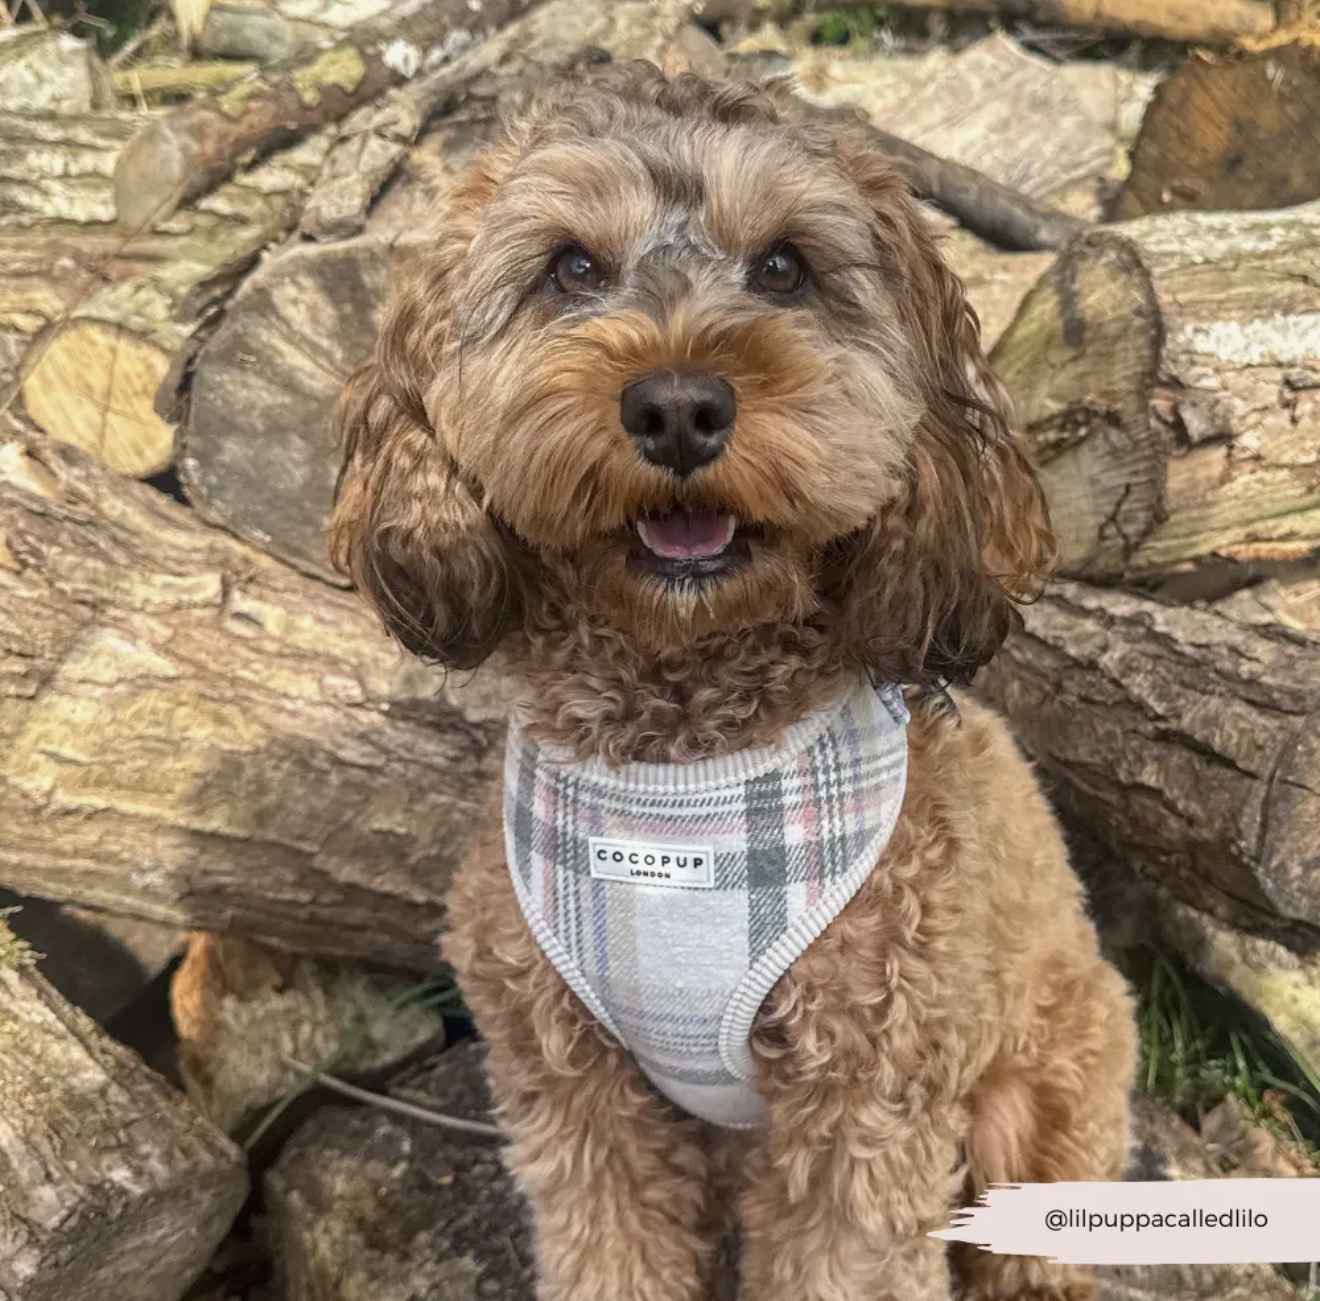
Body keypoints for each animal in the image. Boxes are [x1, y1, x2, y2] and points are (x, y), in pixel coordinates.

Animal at [330, 63, 1137, 1301]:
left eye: (784, 267)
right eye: (571, 267)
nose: (677, 405)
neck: (686, 747)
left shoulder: (864, 1099)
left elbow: (844, 1255)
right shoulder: (572, 1081)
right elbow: (610, 1242)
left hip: (1044, 1090)